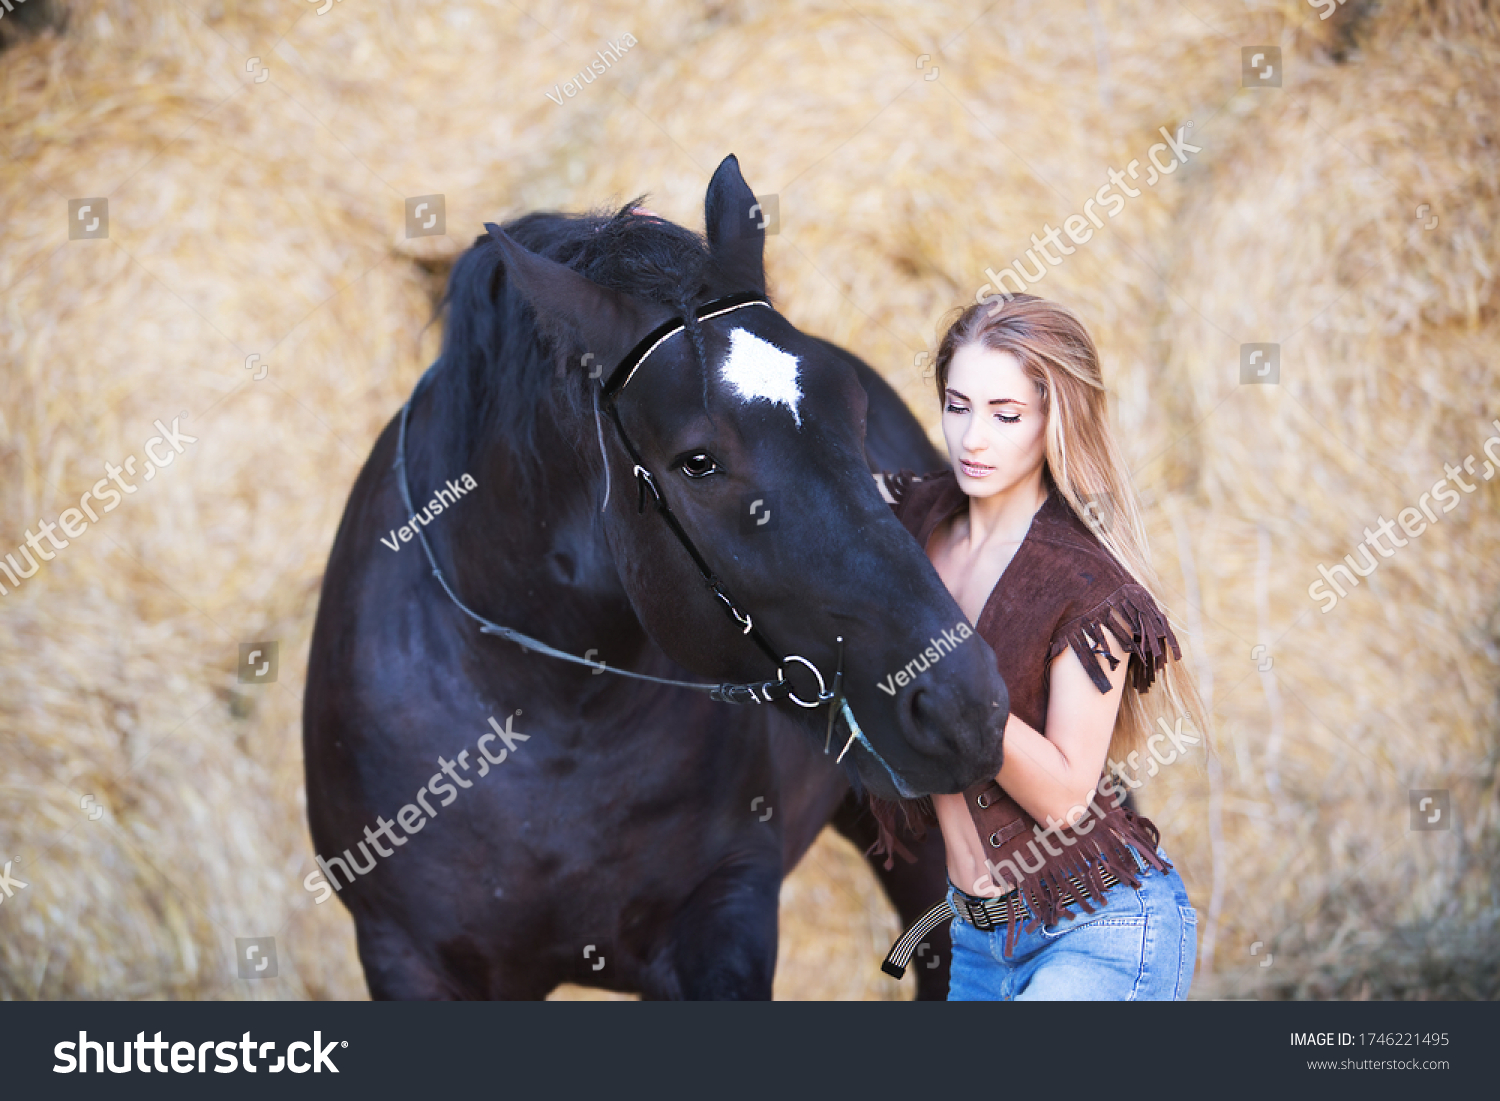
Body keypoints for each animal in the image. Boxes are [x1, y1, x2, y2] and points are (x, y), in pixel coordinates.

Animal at [304, 157, 1008, 1008]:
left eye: (855, 411)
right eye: (697, 461)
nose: (963, 703)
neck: (545, 713)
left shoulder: (723, 916)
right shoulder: (407, 955)